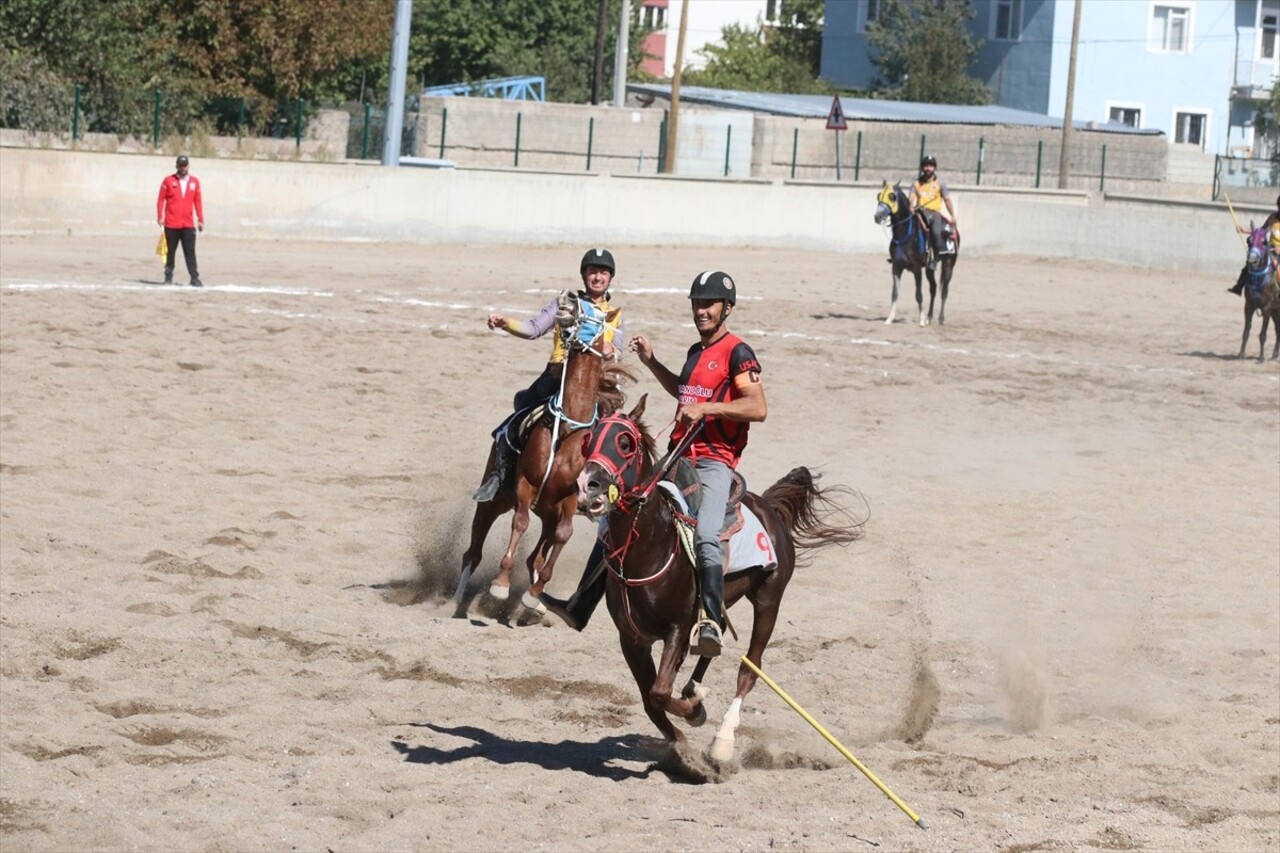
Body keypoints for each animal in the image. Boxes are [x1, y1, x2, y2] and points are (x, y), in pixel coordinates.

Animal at [455, 292, 634, 612]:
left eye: (598, 315)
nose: (569, 297)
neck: (568, 427)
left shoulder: (570, 501)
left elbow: (563, 536)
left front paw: (533, 595)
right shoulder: (525, 484)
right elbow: (520, 522)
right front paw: (501, 584)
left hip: (548, 512)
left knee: (535, 555)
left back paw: (536, 602)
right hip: (497, 498)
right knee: (473, 551)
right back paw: (457, 597)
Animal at [576, 394, 865, 758]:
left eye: (625, 443)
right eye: (587, 441)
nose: (587, 487)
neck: (649, 547)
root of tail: (768, 508)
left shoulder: (677, 628)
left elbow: (659, 692)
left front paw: (692, 716)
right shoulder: (632, 639)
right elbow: (651, 700)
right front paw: (683, 739)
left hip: (769, 600)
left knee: (749, 668)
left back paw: (722, 740)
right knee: (715, 637)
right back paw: (695, 690)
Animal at [870, 180, 962, 324]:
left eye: (892, 196)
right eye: (879, 195)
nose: (878, 216)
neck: (906, 233)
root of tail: (953, 229)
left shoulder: (917, 268)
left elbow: (918, 295)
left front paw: (921, 321)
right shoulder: (896, 267)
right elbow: (895, 293)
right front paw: (890, 319)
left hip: (949, 264)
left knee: (944, 291)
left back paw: (940, 319)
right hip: (929, 269)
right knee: (933, 288)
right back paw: (929, 317)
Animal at [1228, 225, 1280, 358]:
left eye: (1264, 242)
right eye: (1249, 240)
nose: (1251, 260)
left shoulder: (1266, 308)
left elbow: (1262, 334)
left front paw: (1261, 357)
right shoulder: (1249, 306)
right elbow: (1246, 332)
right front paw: (1241, 354)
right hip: (1275, 310)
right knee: (1278, 329)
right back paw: (1275, 354)